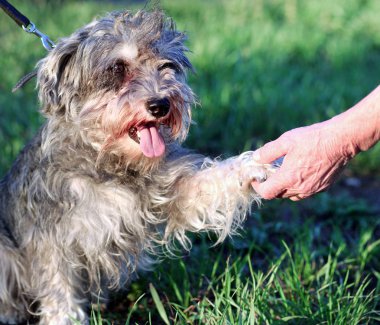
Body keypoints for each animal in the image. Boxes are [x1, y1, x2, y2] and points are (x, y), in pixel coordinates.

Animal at [0, 8, 274, 322]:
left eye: (166, 65)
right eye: (117, 68)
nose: (161, 104)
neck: (112, 161)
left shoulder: (173, 188)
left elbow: (210, 183)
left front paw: (254, 167)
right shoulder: (52, 241)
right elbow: (59, 291)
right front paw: (65, 319)